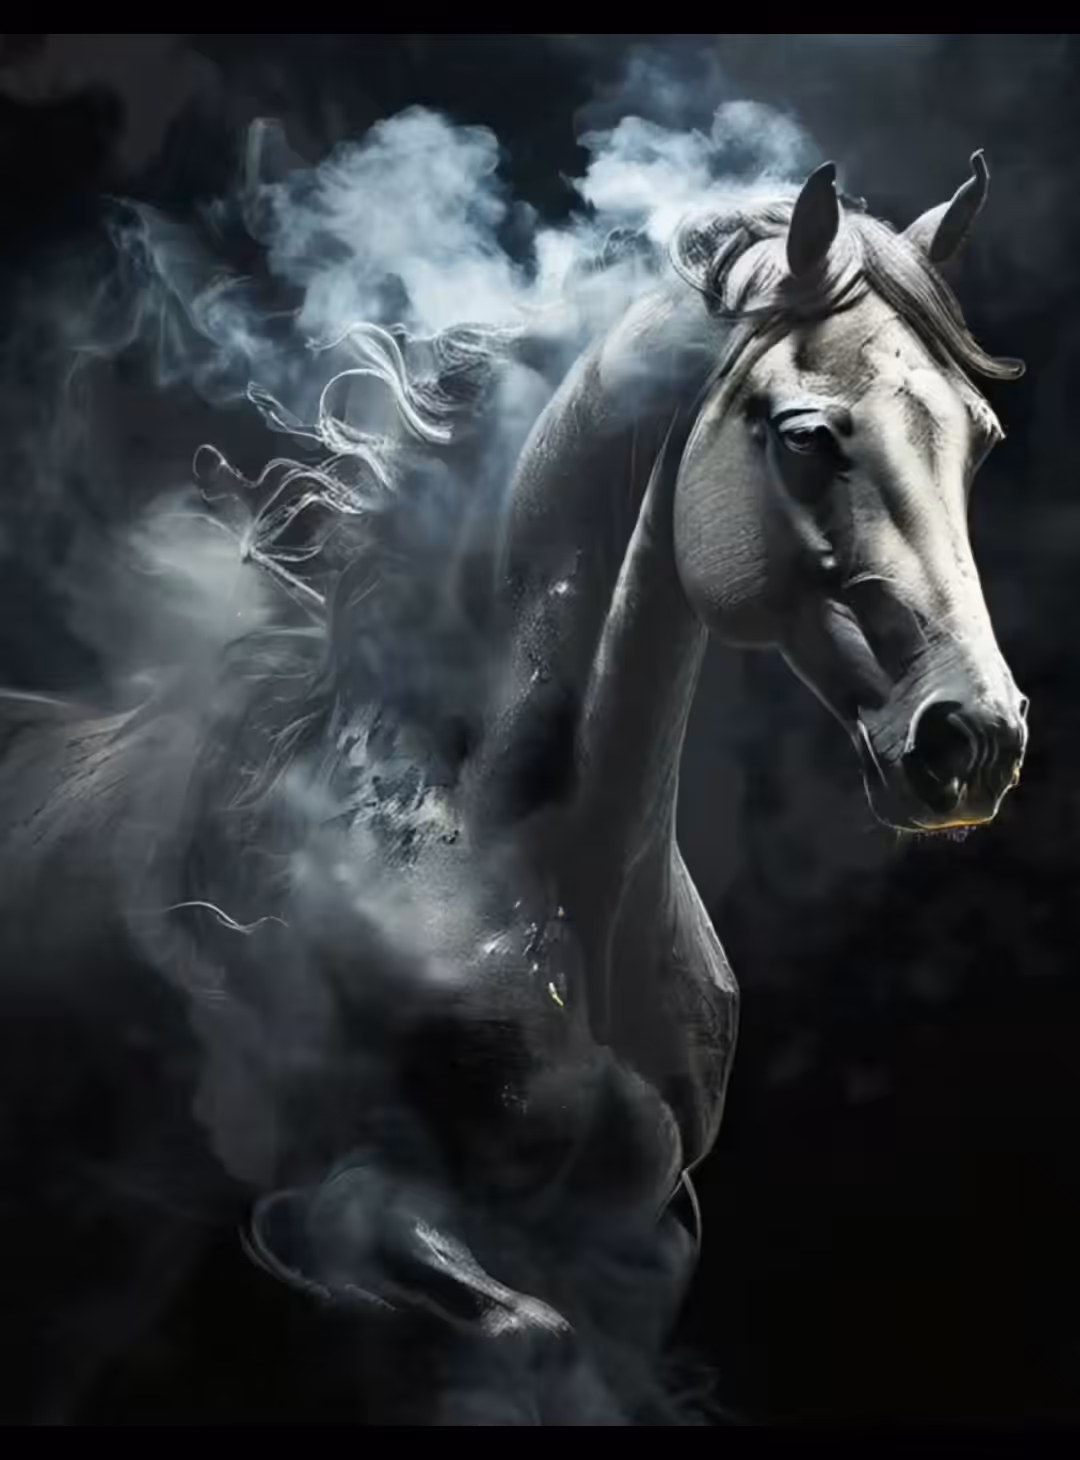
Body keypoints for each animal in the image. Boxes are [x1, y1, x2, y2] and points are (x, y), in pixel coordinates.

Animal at [0, 151, 1029, 1424]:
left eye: (978, 438)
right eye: (806, 436)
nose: (974, 737)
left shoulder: (649, 1232)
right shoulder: (340, 1195)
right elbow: (524, 1335)